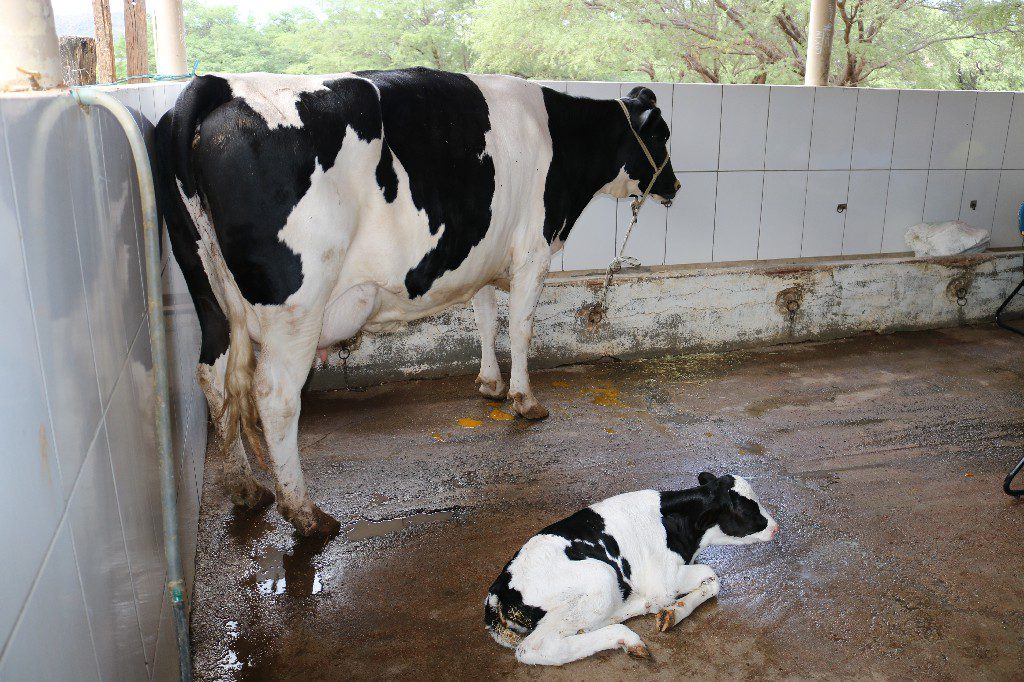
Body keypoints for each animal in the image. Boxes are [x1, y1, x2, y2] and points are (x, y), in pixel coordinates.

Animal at [485, 473, 774, 663]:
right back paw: (627, 638)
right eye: (746, 510)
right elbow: (712, 576)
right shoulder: (666, 578)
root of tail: (499, 586)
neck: (676, 525)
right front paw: (669, 609)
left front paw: (670, 612)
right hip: (600, 579)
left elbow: (710, 583)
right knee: (534, 648)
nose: (775, 527)